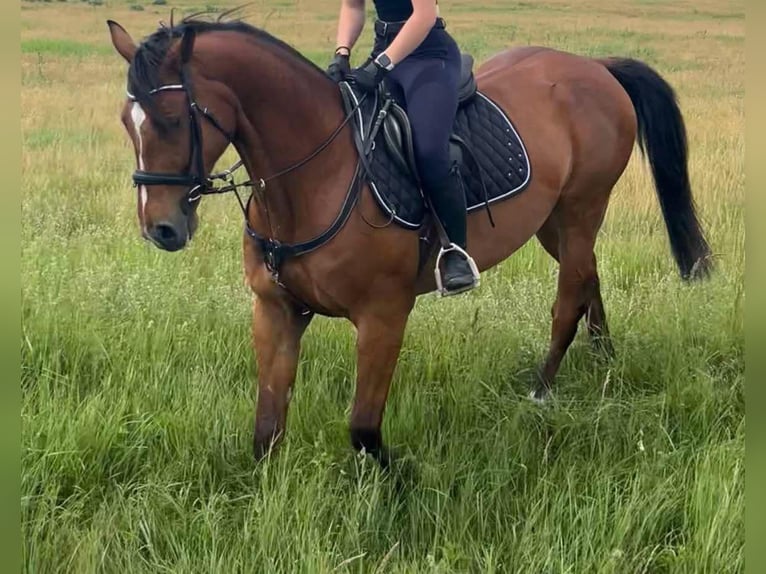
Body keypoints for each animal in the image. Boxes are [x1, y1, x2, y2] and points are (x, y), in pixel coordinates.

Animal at [107, 16, 711, 465]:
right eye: (125, 121)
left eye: (170, 117)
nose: (161, 228)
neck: (315, 175)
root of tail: (594, 67)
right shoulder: (275, 311)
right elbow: (266, 431)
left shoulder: (383, 315)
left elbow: (363, 429)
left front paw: (399, 486)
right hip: (554, 224)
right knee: (588, 278)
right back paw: (603, 359)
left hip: (583, 208)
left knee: (569, 297)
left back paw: (542, 392)